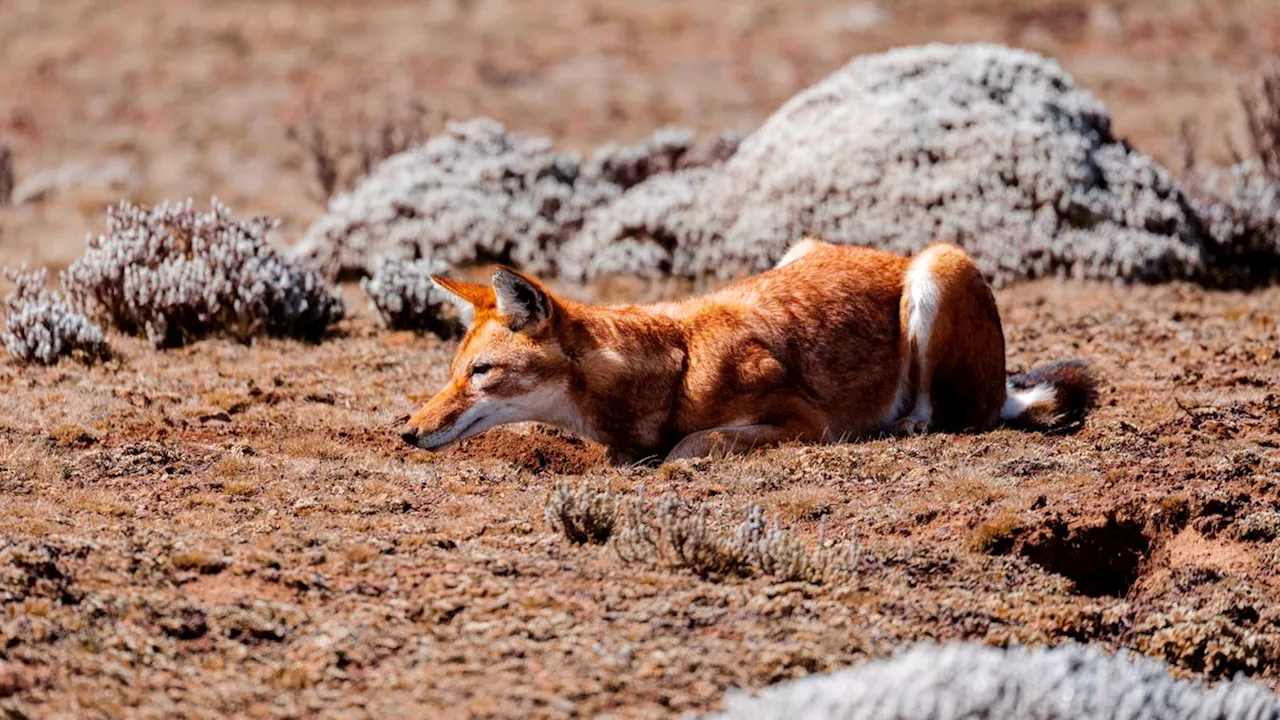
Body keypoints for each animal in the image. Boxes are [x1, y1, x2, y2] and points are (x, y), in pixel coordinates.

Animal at [401, 238, 1100, 461]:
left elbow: (689, 446)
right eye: (454, 373)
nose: (406, 432)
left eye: (481, 372)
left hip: (938, 268)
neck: (671, 369)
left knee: (945, 416)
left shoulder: (806, 421)